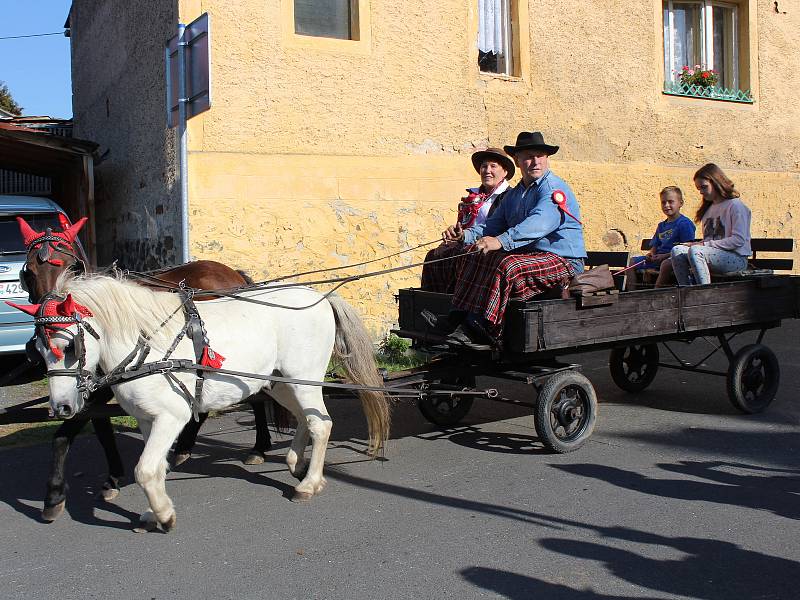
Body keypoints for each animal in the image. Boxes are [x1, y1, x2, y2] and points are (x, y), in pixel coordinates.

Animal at [18, 217, 278, 520]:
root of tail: (233, 274)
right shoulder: (96, 385)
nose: (52, 327)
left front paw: (54, 495)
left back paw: (258, 446)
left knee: (256, 396)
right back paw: (188, 445)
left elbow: (64, 434)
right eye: (29, 272)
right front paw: (113, 477)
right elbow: (101, 429)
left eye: (72, 268)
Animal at [30, 272, 390, 528]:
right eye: (37, 349)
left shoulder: (171, 417)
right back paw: (295, 463)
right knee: (305, 419)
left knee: (320, 424)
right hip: (279, 382)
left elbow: (145, 470)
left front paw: (163, 516)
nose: (61, 407)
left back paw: (309, 483)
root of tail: (320, 297)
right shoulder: (148, 420)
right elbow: (155, 468)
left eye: (69, 345)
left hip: (305, 379)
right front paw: (153, 512)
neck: (147, 346)